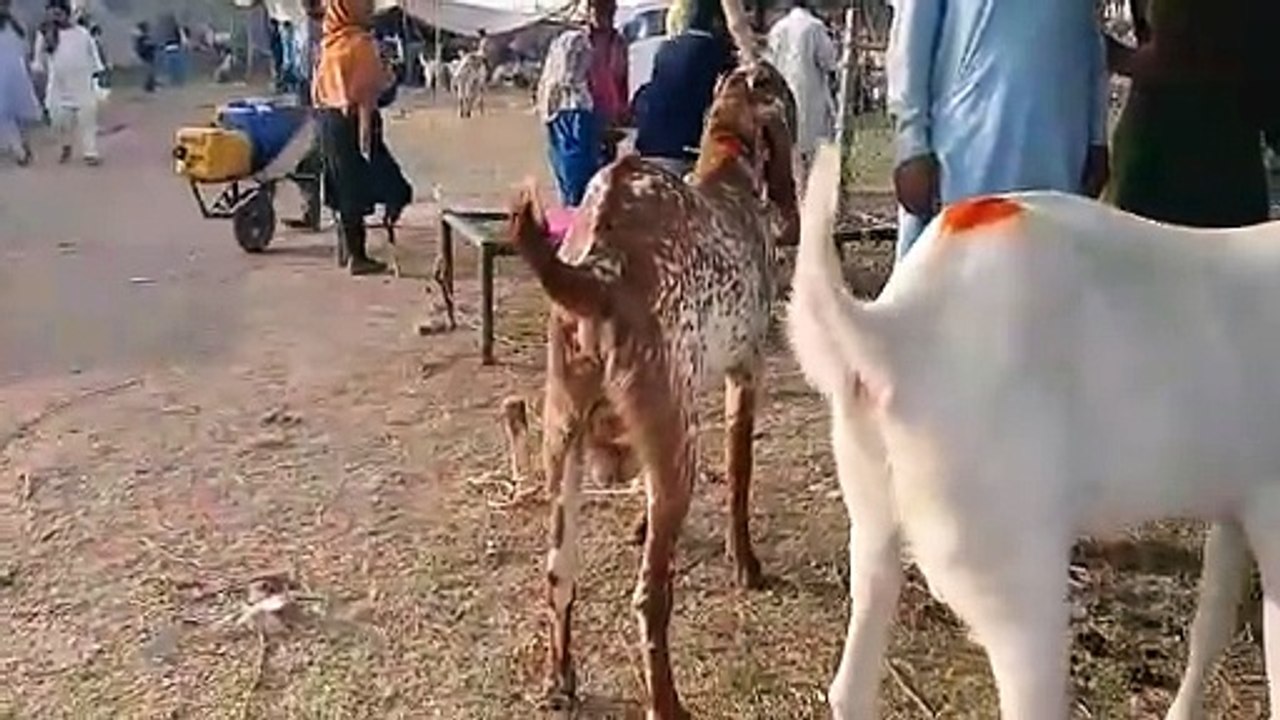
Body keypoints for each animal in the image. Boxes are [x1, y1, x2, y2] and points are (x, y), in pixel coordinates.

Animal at [505, 36, 799, 720]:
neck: (729, 169)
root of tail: (599, 268)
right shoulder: (745, 374)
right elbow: (740, 478)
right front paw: (746, 563)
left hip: (564, 446)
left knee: (559, 574)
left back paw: (561, 679)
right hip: (676, 450)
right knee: (649, 598)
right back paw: (667, 704)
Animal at [788, 143, 1280, 719]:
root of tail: (899, 329)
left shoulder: (1236, 506)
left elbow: (1212, 620)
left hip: (872, 519)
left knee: (850, 684)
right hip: (1017, 582)